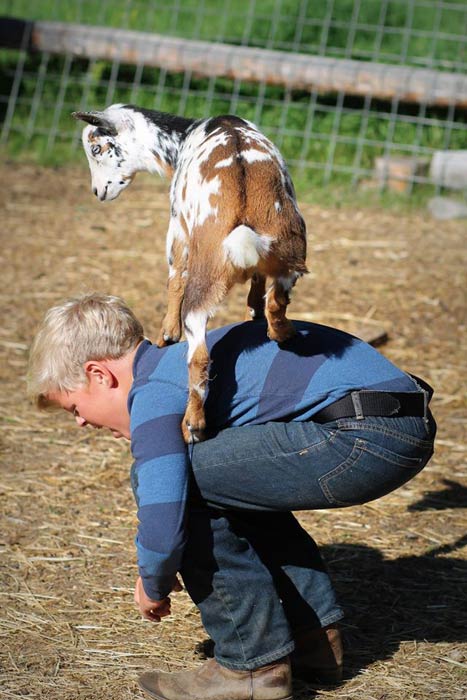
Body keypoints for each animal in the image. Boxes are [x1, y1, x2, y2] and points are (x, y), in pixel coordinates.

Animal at [72, 104, 308, 443]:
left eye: (96, 147)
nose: (97, 191)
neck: (182, 139)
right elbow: (257, 285)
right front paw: (251, 311)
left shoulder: (177, 232)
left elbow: (174, 280)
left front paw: (166, 335)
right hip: (290, 253)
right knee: (276, 303)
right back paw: (283, 332)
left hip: (202, 281)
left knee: (199, 355)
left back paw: (193, 425)